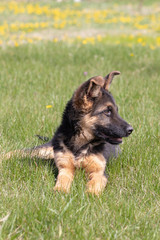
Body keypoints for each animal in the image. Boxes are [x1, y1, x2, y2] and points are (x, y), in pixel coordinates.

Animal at [4, 71, 133, 195]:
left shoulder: (99, 172)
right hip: (45, 150)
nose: (131, 129)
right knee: (21, 152)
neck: (80, 144)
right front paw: (60, 190)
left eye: (116, 111)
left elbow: (94, 184)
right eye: (107, 111)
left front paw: (90, 194)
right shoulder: (65, 168)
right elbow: (63, 179)